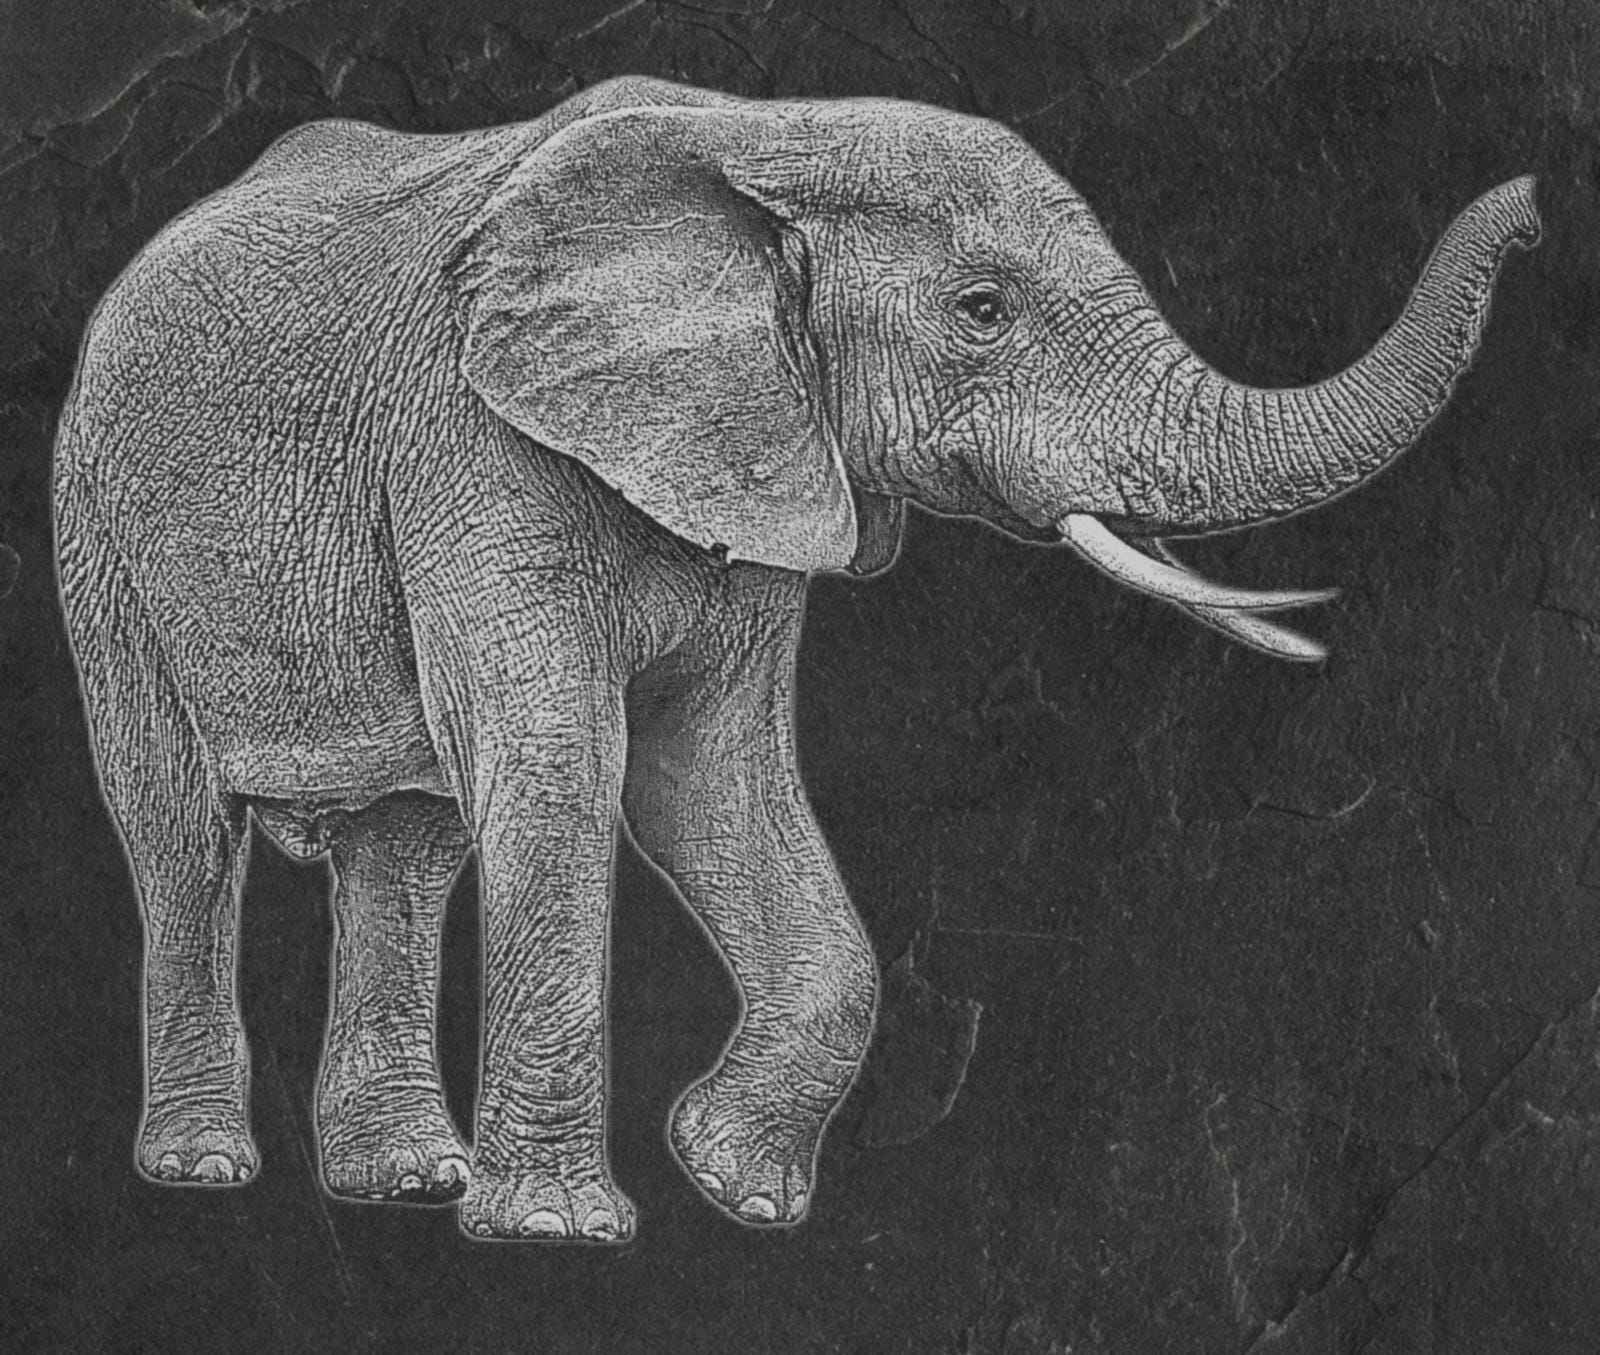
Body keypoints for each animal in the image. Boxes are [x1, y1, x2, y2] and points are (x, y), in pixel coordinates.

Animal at [52, 75, 1539, 1242]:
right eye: (981, 308)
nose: (1531, 200)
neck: (765, 137)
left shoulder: (761, 467)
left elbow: (707, 778)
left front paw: (736, 1187)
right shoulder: (474, 446)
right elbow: (563, 769)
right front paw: (563, 1232)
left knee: (404, 844)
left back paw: (409, 1181)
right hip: (101, 540)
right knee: (178, 830)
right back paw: (207, 1167)